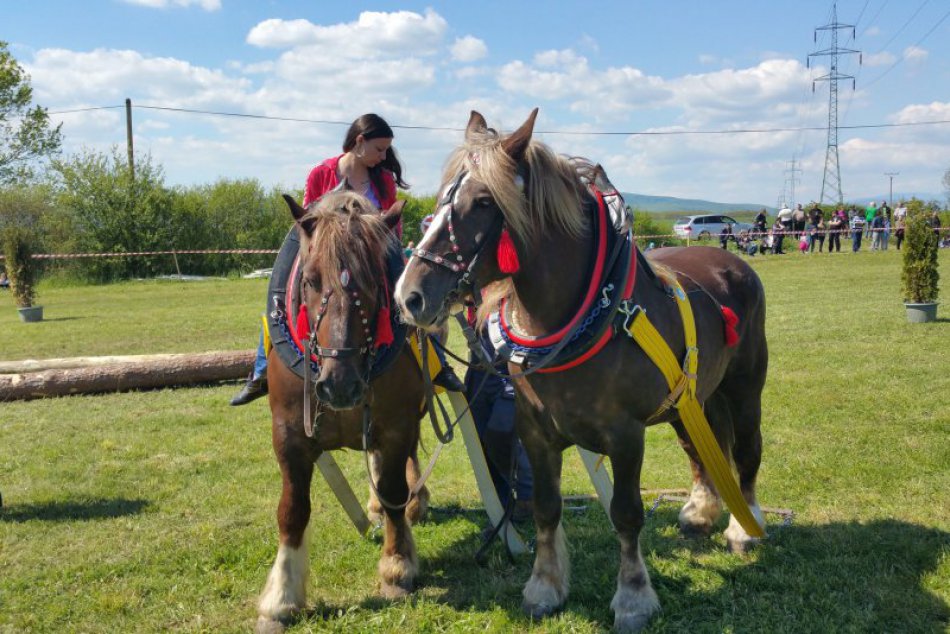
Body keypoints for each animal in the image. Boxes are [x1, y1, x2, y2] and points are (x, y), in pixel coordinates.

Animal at [256, 190, 428, 628]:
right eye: (311, 280)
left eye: (373, 282)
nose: (339, 384)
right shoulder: (288, 433)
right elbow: (293, 509)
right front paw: (282, 595)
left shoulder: (397, 423)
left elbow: (393, 490)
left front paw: (397, 565)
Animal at [392, 111, 768, 628]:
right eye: (441, 199)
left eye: (484, 202)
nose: (408, 296)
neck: (584, 317)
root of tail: (731, 259)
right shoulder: (536, 433)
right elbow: (547, 509)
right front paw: (545, 586)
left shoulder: (627, 435)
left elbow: (626, 514)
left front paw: (633, 596)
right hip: (691, 398)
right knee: (699, 447)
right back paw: (700, 509)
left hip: (745, 386)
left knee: (747, 451)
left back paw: (744, 526)